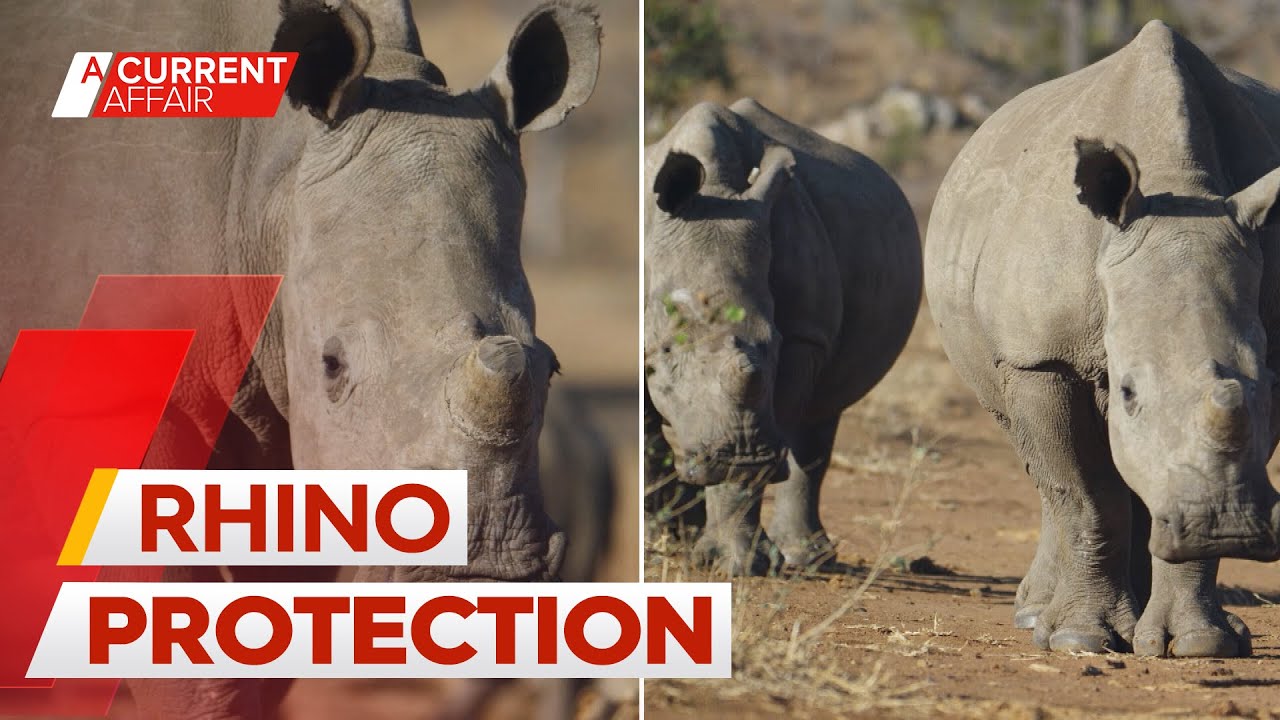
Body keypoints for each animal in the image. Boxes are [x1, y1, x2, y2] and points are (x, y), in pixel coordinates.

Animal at [1, 0, 600, 716]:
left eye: (551, 368)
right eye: (332, 365)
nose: (480, 581)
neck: (268, 180)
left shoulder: (284, 429)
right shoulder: (98, 400)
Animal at [644, 98, 922, 575]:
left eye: (772, 342)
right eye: (665, 350)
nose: (742, 454)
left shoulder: (801, 337)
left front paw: (735, 566)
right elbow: (647, 443)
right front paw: (660, 542)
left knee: (814, 426)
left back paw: (804, 559)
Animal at [926, 20, 1280, 657]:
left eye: (1262, 384)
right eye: (1129, 392)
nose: (1225, 526)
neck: (1178, 188)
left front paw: (1200, 644)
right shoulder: (1043, 358)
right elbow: (1085, 495)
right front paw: (1078, 639)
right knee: (1041, 466)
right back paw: (1037, 618)